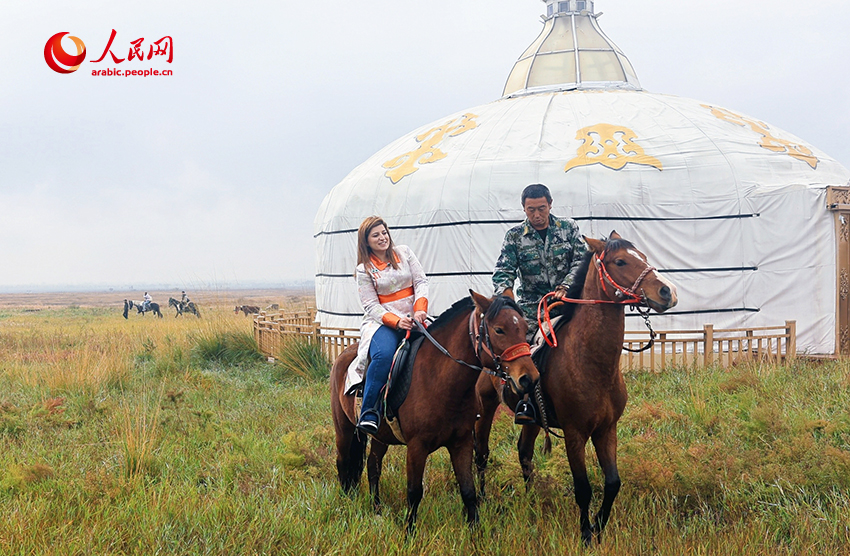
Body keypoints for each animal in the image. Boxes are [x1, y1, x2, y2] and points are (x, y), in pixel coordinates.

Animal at [330, 292, 536, 536]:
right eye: (499, 330)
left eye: (525, 327)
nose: (529, 378)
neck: (439, 379)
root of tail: (343, 355)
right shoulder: (417, 446)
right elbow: (414, 492)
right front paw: (409, 534)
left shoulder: (461, 442)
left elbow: (468, 491)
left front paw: (475, 534)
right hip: (344, 428)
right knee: (343, 463)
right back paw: (346, 503)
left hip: (381, 436)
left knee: (373, 466)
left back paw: (377, 508)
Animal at [470, 231, 676, 548]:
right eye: (620, 261)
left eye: (642, 255)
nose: (667, 291)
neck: (591, 362)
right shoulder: (575, 433)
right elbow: (583, 488)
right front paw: (586, 535)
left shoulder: (607, 429)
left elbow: (612, 483)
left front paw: (600, 527)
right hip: (485, 405)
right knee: (481, 454)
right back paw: (481, 498)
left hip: (532, 419)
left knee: (524, 453)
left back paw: (532, 500)